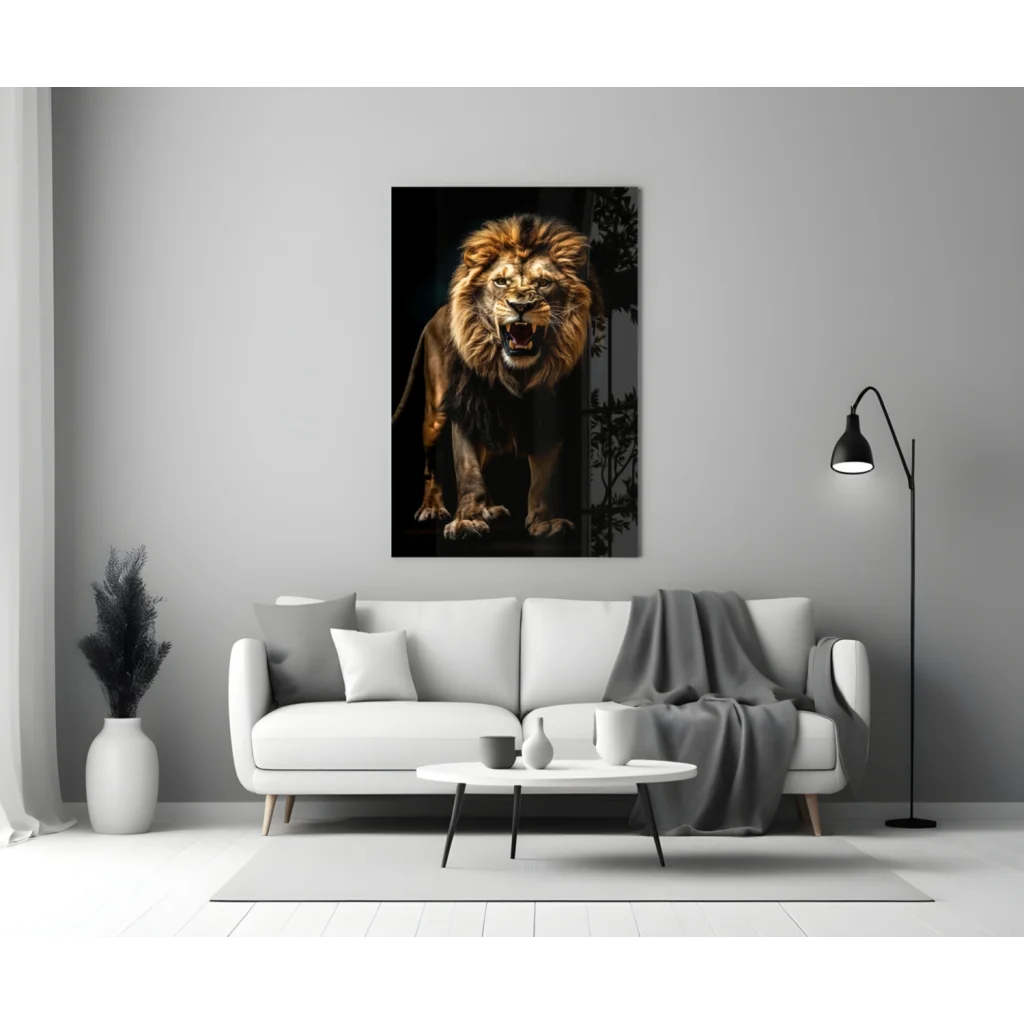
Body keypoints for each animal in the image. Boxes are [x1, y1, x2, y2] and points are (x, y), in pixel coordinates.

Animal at [392, 213, 600, 541]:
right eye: (500, 281)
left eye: (544, 283)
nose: (521, 306)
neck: (515, 374)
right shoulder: (465, 407)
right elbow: (468, 470)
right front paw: (466, 522)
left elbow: (544, 476)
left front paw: (545, 523)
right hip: (436, 415)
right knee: (432, 466)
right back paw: (433, 508)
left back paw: (490, 508)